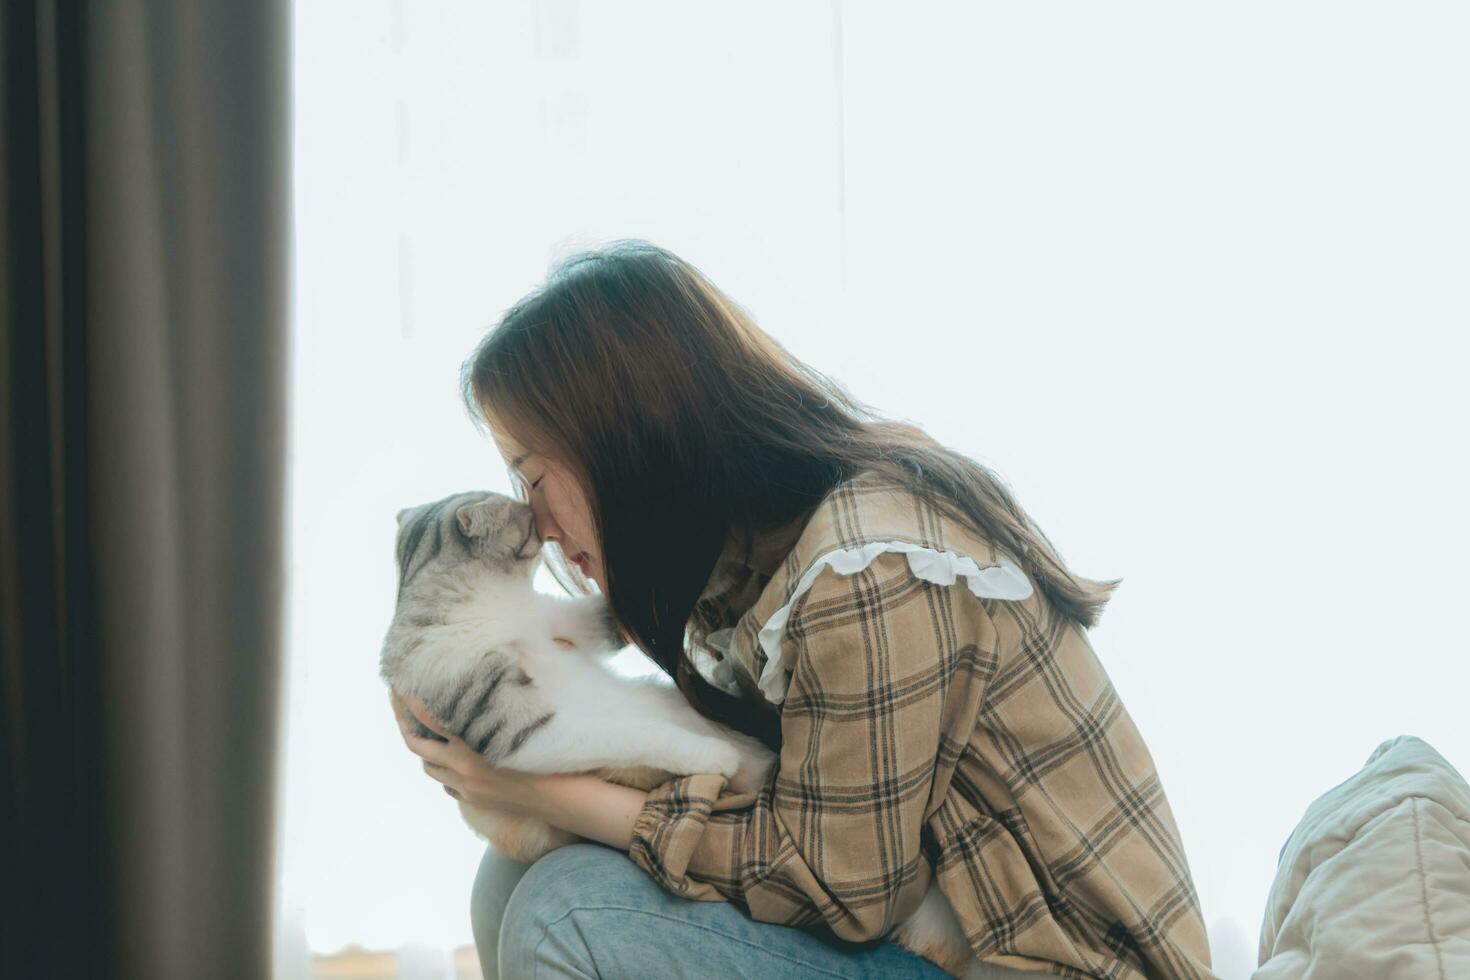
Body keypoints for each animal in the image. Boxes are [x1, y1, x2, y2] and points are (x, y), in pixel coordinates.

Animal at [382, 490, 987, 980]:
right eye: (530, 520)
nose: (545, 523)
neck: (503, 609)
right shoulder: (524, 730)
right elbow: (630, 737)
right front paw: (710, 756)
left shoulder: (571, 625)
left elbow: (613, 612)